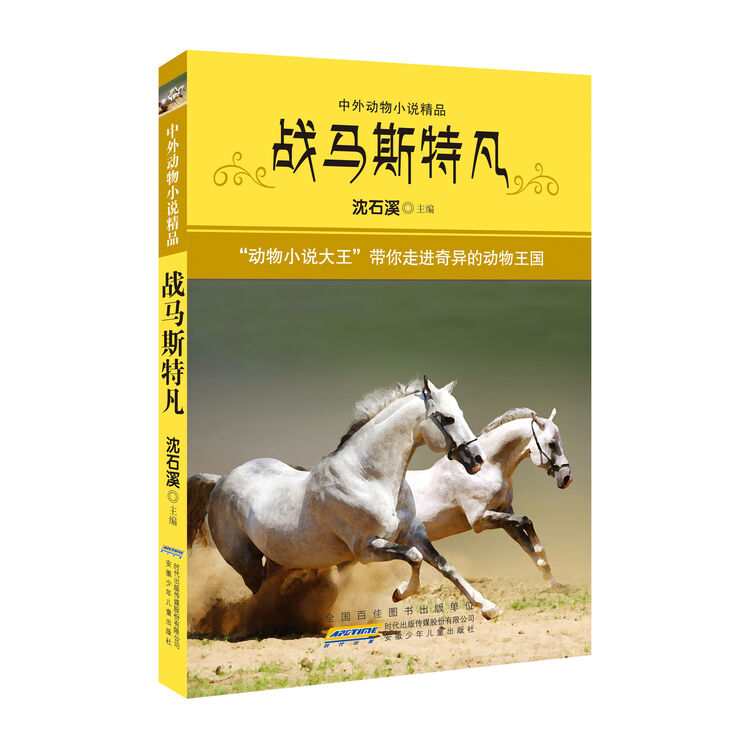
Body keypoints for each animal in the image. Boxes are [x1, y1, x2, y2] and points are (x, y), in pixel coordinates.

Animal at [188, 377, 504, 619]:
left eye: (460, 413)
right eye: (447, 418)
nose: (477, 460)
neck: (368, 478)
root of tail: (221, 480)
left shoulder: (413, 531)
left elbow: (443, 564)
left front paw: (487, 607)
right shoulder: (366, 549)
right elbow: (414, 559)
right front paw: (399, 593)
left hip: (279, 558)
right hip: (245, 561)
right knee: (257, 592)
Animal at [406, 407, 573, 586]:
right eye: (551, 443)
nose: (567, 478)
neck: (487, 469)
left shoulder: (504, 512)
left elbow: (525, 543)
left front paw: (552, 580)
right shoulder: (479, 520)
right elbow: (526, 521)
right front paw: (542, 557)